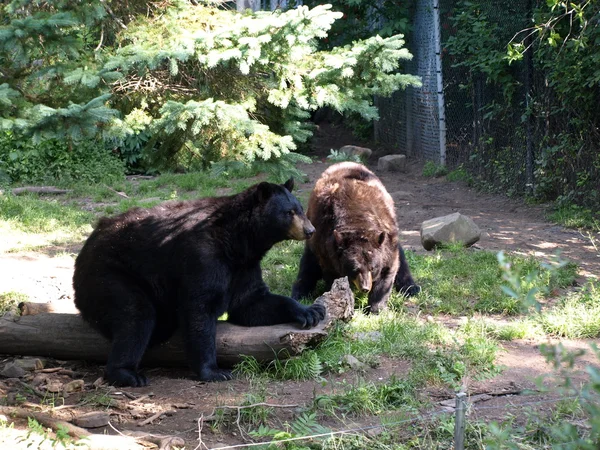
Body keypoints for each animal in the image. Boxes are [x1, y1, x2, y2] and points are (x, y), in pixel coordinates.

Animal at [72, 179, 326, 386]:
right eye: (289, 212)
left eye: (301, 208)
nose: (310, 230)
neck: (236, 241)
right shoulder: (202, 256)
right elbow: (199, 308)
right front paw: (213, 371)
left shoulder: (244, 267)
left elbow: (252, 302)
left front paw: (311, 311)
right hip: (108, 272)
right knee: (135, 314)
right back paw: (127, 373)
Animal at [292, 162, 420, 312]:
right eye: (355, 269)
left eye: (372, 267)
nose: (365, 287)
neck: (357, 220)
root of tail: (345, 163)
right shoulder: (326, 246)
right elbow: (333, 276)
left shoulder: (387, 240)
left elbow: (387, 272)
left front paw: (376, 307)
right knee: (308, 266)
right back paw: (299, 293)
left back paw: (411, 288)